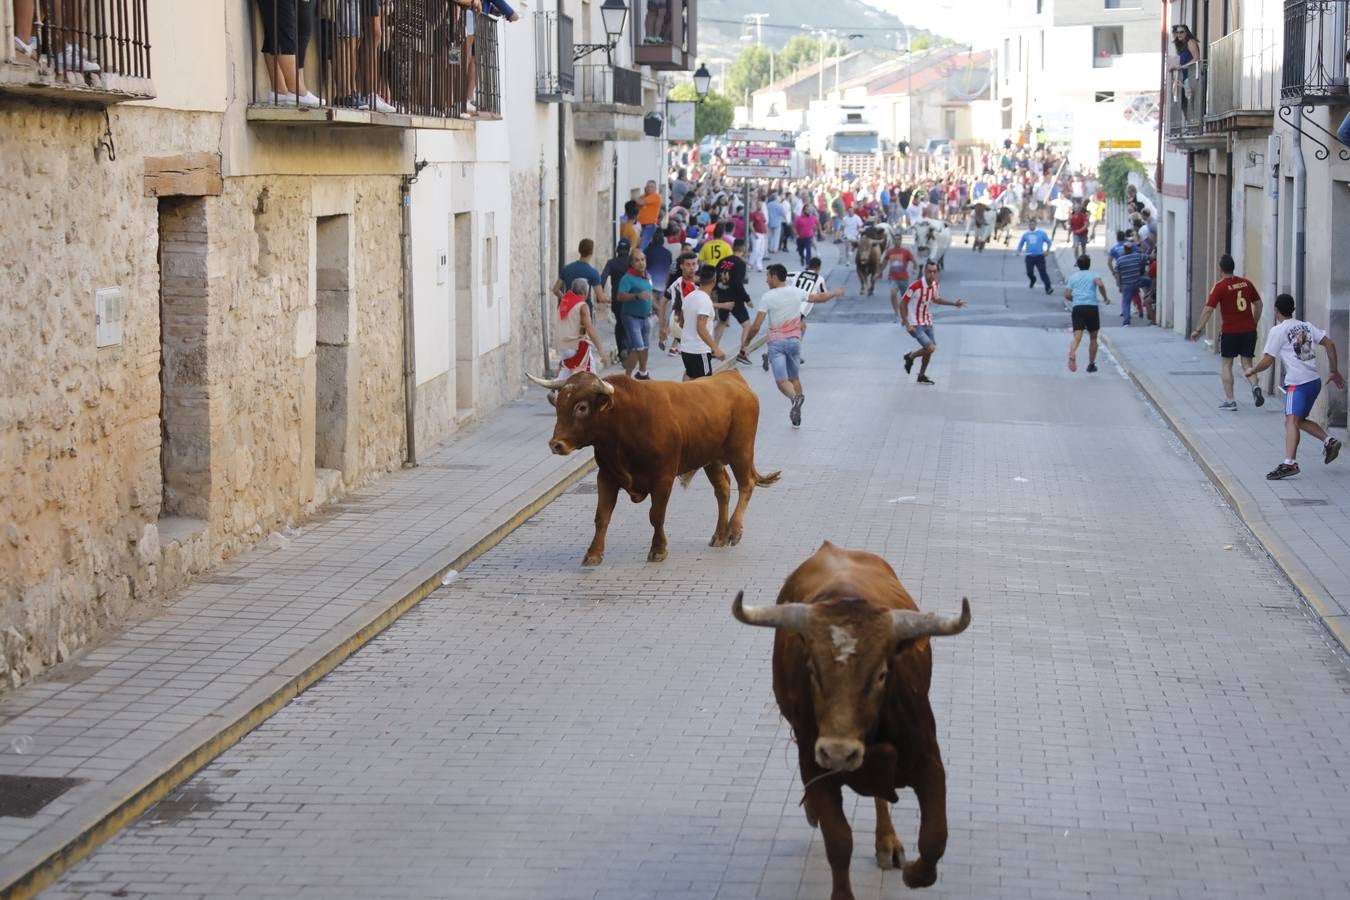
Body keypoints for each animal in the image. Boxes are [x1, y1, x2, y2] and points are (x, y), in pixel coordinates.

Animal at [526, 367, 783, 564]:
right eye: (559, 404)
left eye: (581, 407)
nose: (556, 444)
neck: (624, 424)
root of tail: (731, 376)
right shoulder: (606, 476)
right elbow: (602, 516)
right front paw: (593, 554)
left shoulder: (663, 478)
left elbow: (656, 515)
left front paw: (658, 550)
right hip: (712, 458)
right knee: (723, 490)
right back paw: (719, 535)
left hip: (741, 450)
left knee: (746, 484)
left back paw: (734, 531)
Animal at [734, 542, 966, 900]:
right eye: (812, 669)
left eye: (882, 674)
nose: (839, 752)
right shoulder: (815, 765)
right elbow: (839, 841)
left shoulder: (929, 762)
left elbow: (934, 838)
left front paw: (914, 873)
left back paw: (887, 843)